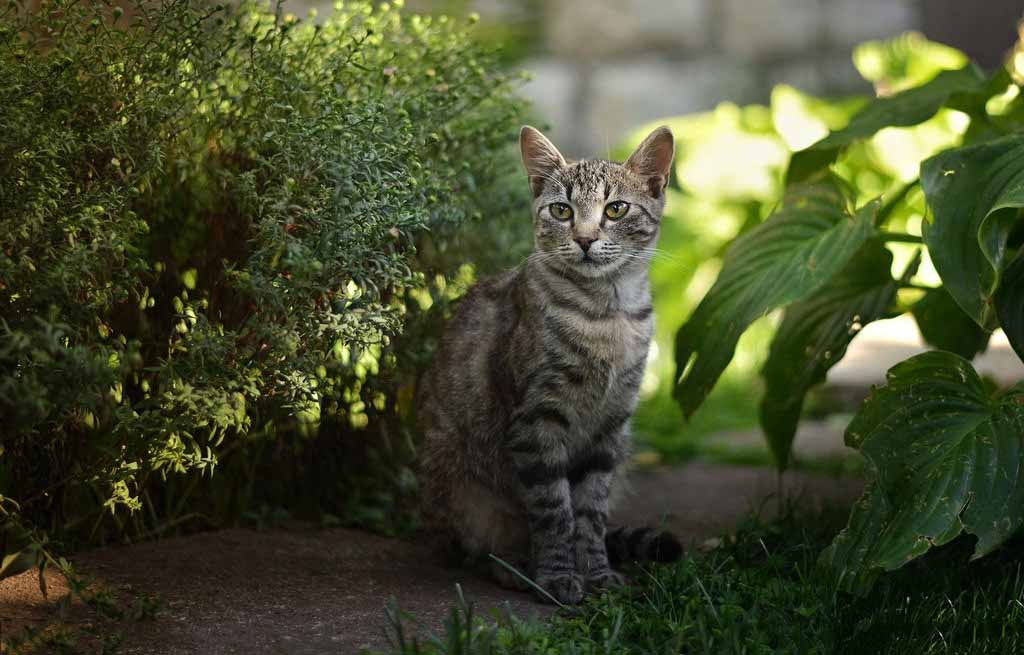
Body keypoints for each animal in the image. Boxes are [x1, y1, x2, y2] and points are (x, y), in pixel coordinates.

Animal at [415, 123, 679, 605]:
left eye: (615, 209)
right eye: (561, 209)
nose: (585, 238)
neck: (606, 315)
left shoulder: (611, 427)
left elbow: (590, 513)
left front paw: (596, 573)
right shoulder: (537, 420)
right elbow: (556, 510)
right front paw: (557, 576)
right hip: (458, 485)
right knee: (474, 549)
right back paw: (514, 567)